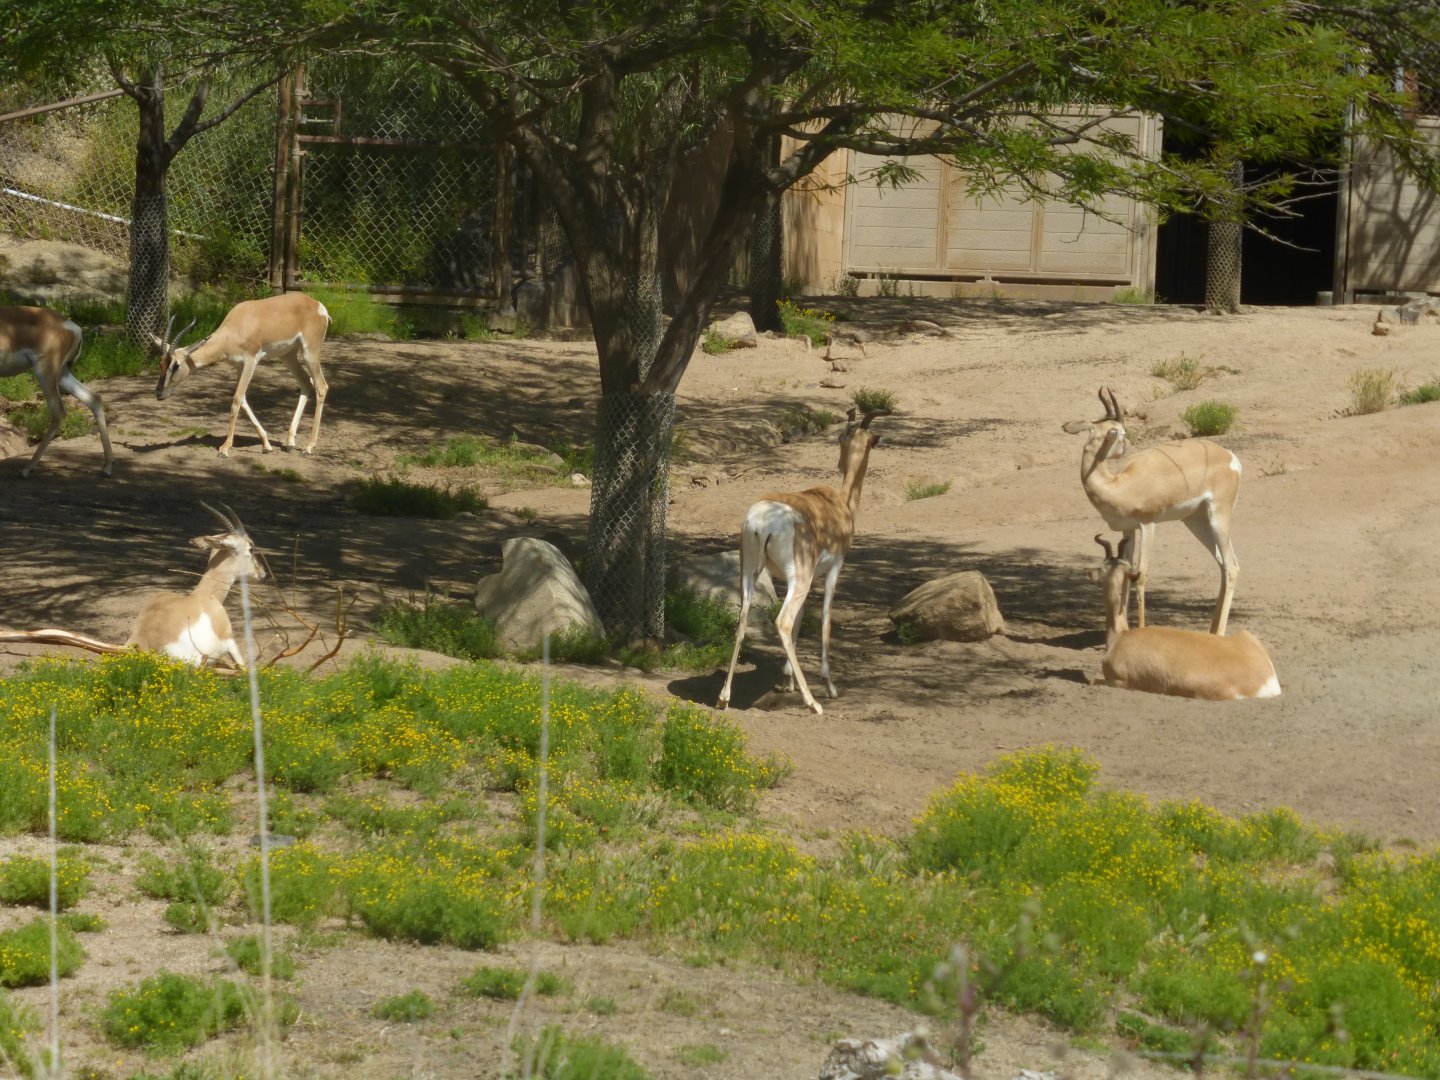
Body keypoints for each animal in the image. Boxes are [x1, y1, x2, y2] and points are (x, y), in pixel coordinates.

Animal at [1, 306, 114, 476]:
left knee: (58, 412)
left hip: (45, 372)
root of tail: (74, 327)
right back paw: (106, 467)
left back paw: (27, 468)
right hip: (62, 375)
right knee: (94, 398)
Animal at [151, 292, 330, 457]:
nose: (159, 393)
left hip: (309, 352)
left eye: (176, 365)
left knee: (321, 386)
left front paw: (224, 449)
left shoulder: (251, 361)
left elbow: (236, 399)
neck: (235, 329)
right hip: (287, 355)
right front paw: (266, 445)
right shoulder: (239, 366)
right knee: (306, 382)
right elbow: (243, 399)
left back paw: (308, 447)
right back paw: (290, 443)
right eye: (160, 364)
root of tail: (317, 305)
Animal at [717, 408, 885, 715]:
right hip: (800, 579)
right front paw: (829, 685)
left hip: (751, 572)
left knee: (743, 618)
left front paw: (787, 681)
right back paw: (813, 703)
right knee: (782, 622)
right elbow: (825, 618)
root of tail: (761, 521)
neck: (840, 505)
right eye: (841, 436)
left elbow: (800, 620)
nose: (839, 464)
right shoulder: (834, 569)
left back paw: (724, 697)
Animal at [1063, 387, 1241, 635]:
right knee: (1223, 565)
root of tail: (1229, 456)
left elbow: (1141, 576)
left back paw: (1220, 632)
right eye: (1122, 434)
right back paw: (1211, 630)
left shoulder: (1148, 525)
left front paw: (1140, 628)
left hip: (1218, 517)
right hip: (1196, 521)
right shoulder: (1128, 530)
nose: (1124, 449)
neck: (1119, 484)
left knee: (1232, 567)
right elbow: (1126, 574)